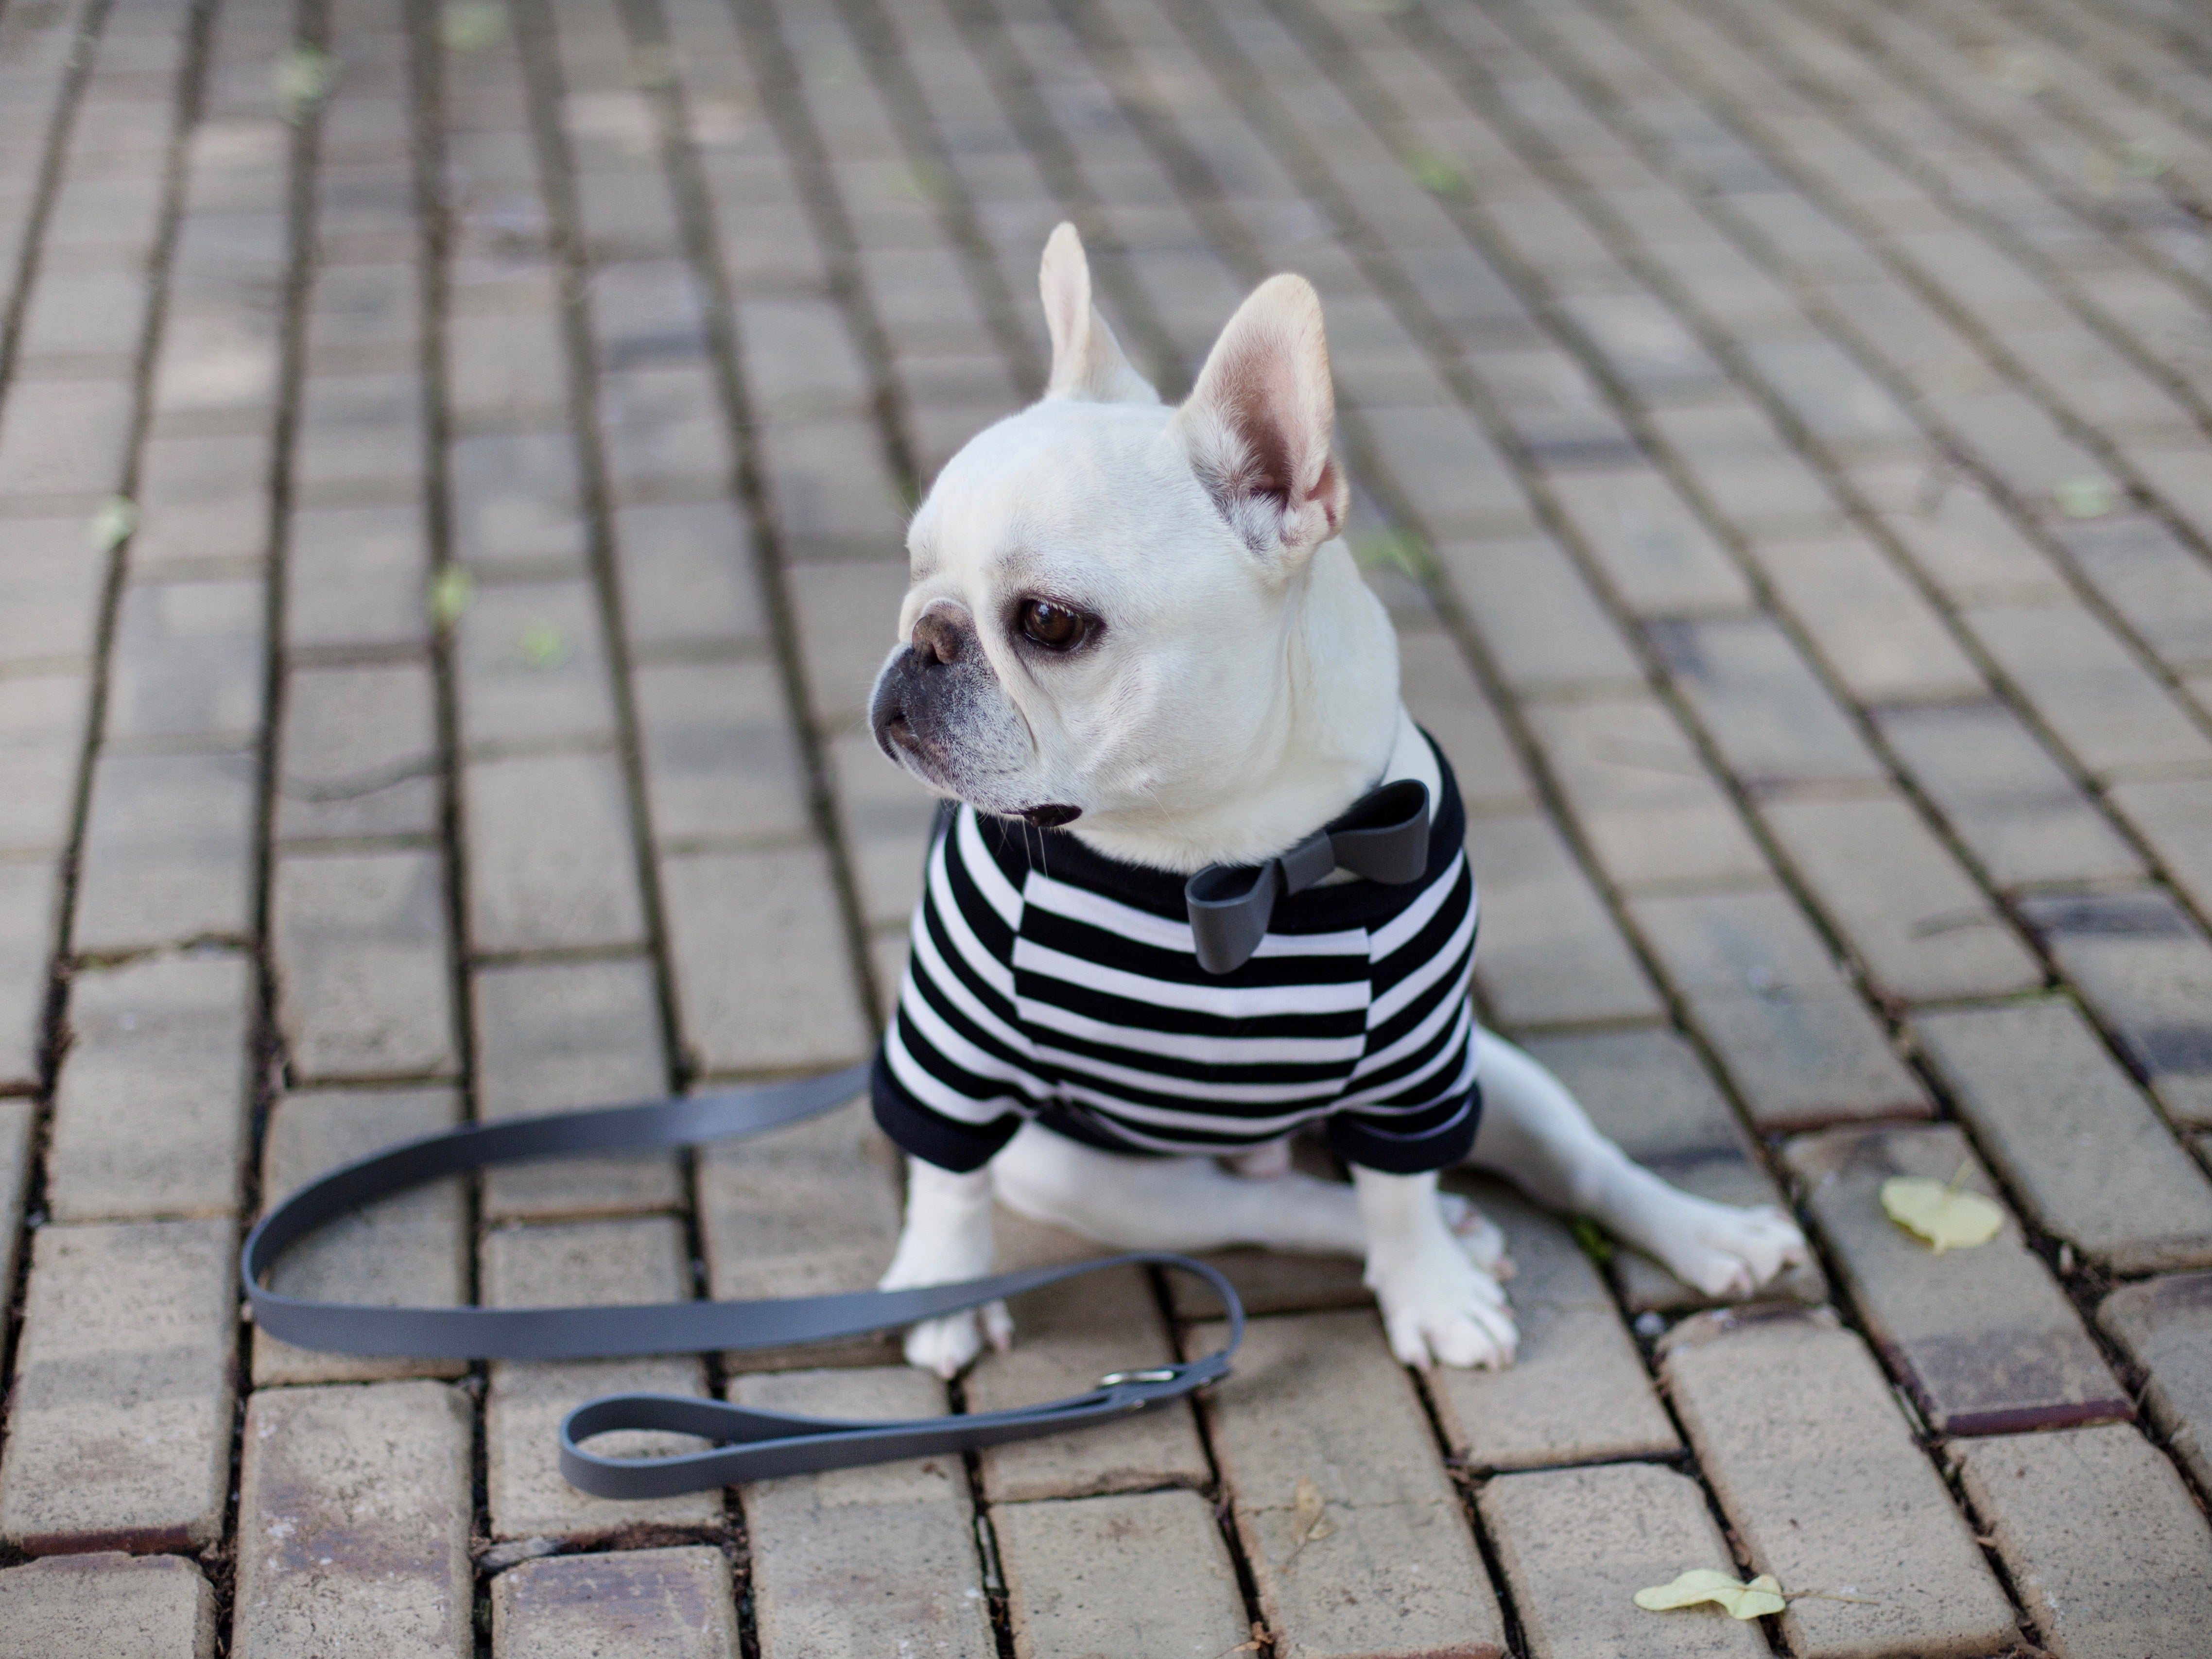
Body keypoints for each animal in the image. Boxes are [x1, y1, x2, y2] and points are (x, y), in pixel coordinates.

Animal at [854, 227, 1805, 1380]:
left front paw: (1430, 1288)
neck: (1222, 857)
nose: (923, 637)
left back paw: (1702, 1233)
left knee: (1571, 1160)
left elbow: (1399, 1185)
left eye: (1046, 621)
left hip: (1483, 1065)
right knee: (1271, 1211)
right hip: (1094, 1172)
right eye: (916, 566)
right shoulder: (950, 1039)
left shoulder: (1415, 1056)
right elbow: (946, 1171)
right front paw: (936, 1284)